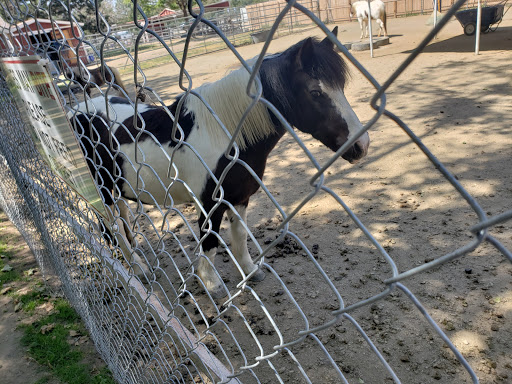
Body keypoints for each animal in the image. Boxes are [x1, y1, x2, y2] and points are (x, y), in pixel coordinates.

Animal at [70, 28, 370, 298]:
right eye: (315, 92)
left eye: (341, 87)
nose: (362, 146)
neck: (223, 135)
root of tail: (78, 110)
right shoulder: (209, 203)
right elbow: (210, 242)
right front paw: (212, 284)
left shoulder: (240, 198)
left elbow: (239, 237)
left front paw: (251, 272)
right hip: (104, 189)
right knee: (114, 226)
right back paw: (138, 267)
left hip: (117, 187)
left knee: (119, 223)